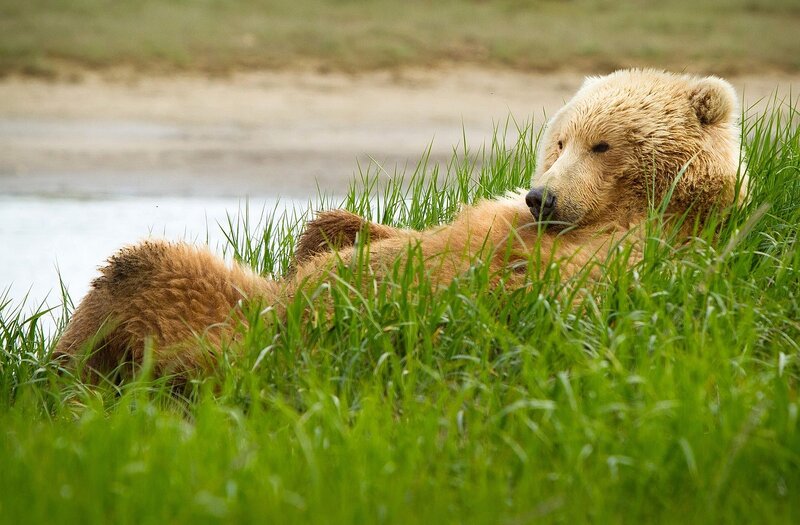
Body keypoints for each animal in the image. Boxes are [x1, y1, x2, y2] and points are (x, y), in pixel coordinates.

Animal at [54, 69, 748, 381]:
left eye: (602, 144)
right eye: (559, 139)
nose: (541, 197)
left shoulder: (619, 259)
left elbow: (483, 287)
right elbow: (372, 234)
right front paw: (335, 237)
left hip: (229, 334)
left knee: (144, 268)